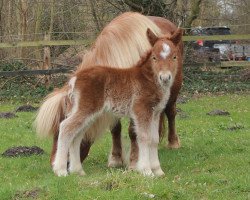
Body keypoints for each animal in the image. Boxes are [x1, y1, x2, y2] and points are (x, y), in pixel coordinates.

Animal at [34, 11, 184, 169]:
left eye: (59, 131)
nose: (53, 164)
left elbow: (133, 131)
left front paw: (134, 161)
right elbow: (115, 129)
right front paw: (116, 159)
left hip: (173, 92)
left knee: (171, 113)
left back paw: (173, 143)